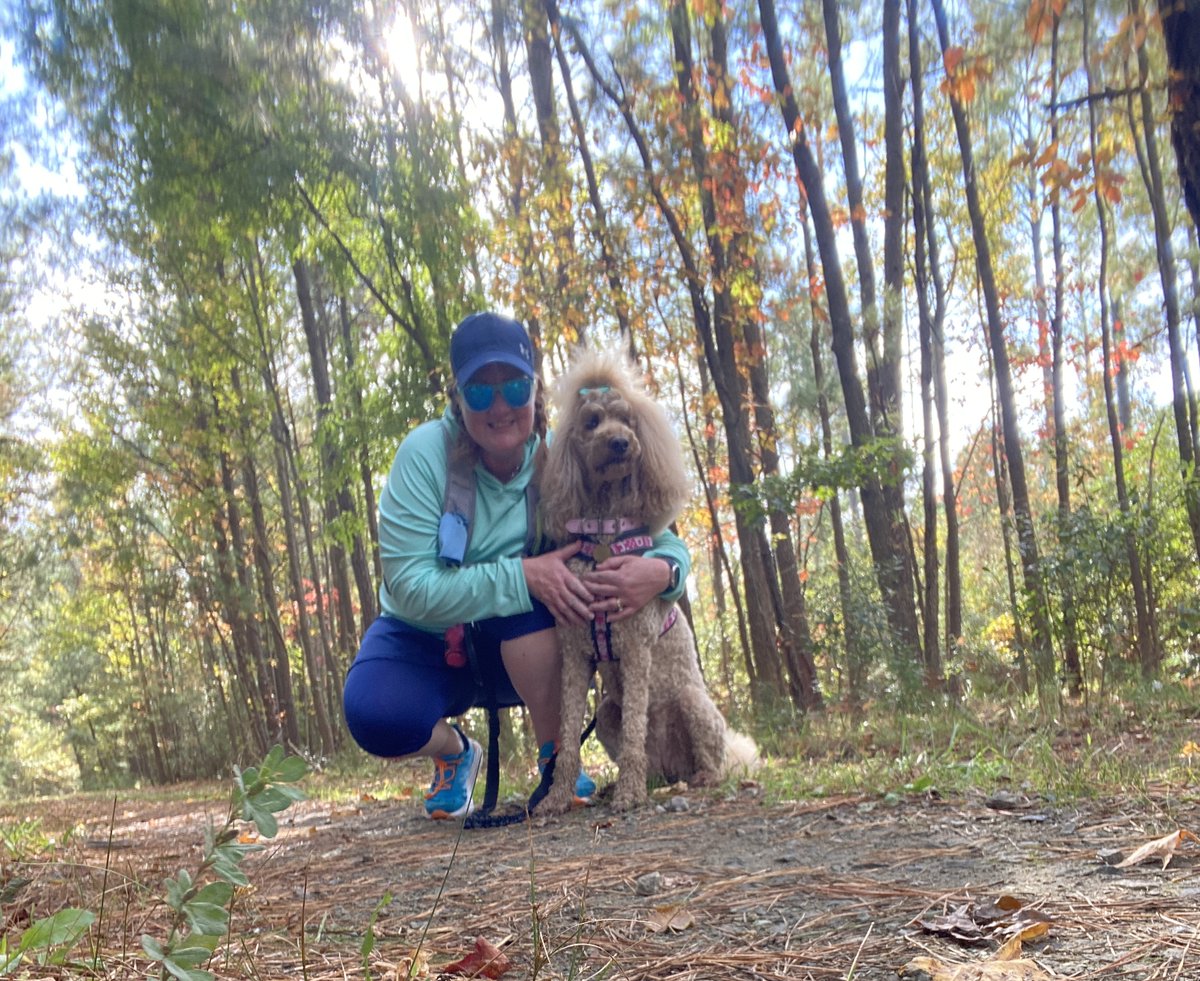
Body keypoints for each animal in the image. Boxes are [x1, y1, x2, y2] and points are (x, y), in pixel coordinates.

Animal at [535, 347, 748, 815]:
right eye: (592, 421)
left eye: (628, 420)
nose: (620, 442)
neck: (603, 533)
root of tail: (673, 767)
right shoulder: (575, 655)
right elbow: (568, 738)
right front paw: (557, 797)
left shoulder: (635, 648)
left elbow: (635, 731)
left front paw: (630, 796)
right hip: (606, 713)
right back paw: (634, 781)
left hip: (692, 702)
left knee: (710, 760)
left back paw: (689, 779)